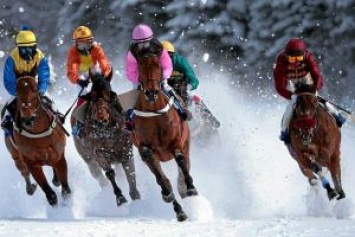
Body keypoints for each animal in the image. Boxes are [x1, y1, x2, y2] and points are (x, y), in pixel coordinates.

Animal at [4, 76, 71, 206]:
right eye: (17, 92)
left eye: (35, 90)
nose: (28, 119)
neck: (39, 135)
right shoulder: (31, 163)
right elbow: (47, 189)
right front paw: (52, 198)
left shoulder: (59, 156)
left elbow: (65, 187)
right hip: (16, 156)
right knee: (23, 171)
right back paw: (30, 188)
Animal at [71, 74, 140, 206]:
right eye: (91, 100)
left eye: (111, 96)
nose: (101, 120)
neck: (108, 135)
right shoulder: (100, 154)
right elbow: (109, 173)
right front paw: (120, 198)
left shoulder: (126, 151)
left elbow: (130, 172)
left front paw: (136, 196)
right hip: (87, 157)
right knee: (97, 174)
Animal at [133, 54, 200, 222]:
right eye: (140, 68)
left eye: (158, 66)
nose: (151, 92)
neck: (155, 114)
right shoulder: (145, 149)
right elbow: (162, 180)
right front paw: (169, 196)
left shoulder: (177, 142)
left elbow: (181, 161)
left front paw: (190, 188)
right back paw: (179, 210)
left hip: (186, 142)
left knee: (184, 165)